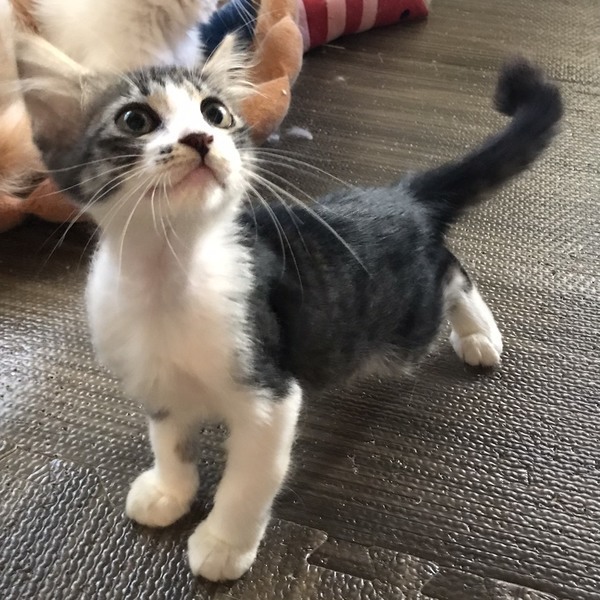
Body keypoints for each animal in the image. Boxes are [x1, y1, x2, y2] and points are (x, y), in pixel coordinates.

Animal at [12, 33, 562, 581]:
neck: (167, 275)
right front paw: (170, 490)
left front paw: (223, 543)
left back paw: (478, 333)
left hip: (404, 328)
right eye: (135, 120)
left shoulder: (269, 395)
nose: (200, 139)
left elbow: (247, 480)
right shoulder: (156, 379)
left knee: (450, 274)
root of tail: (401, 197)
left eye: (215, 113)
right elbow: (170, 440)